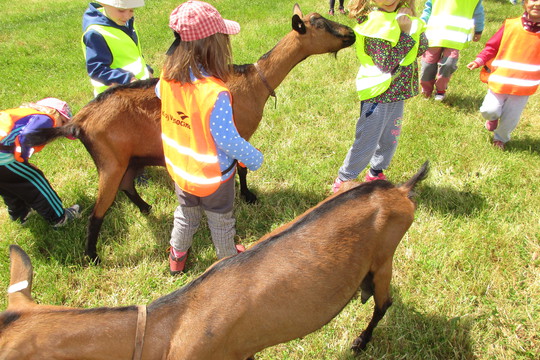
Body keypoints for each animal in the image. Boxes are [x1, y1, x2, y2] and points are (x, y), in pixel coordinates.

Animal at [25, 2, 356, 262]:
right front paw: (248, 196)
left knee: (127, 185)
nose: (352, 34)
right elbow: (242, 169)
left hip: (128, 158)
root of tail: (79, 121)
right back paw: (92, 255)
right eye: (321, 25)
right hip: (110, 161)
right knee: (98, 210)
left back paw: (145, 209)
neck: (253, 80)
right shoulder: (237, 134)